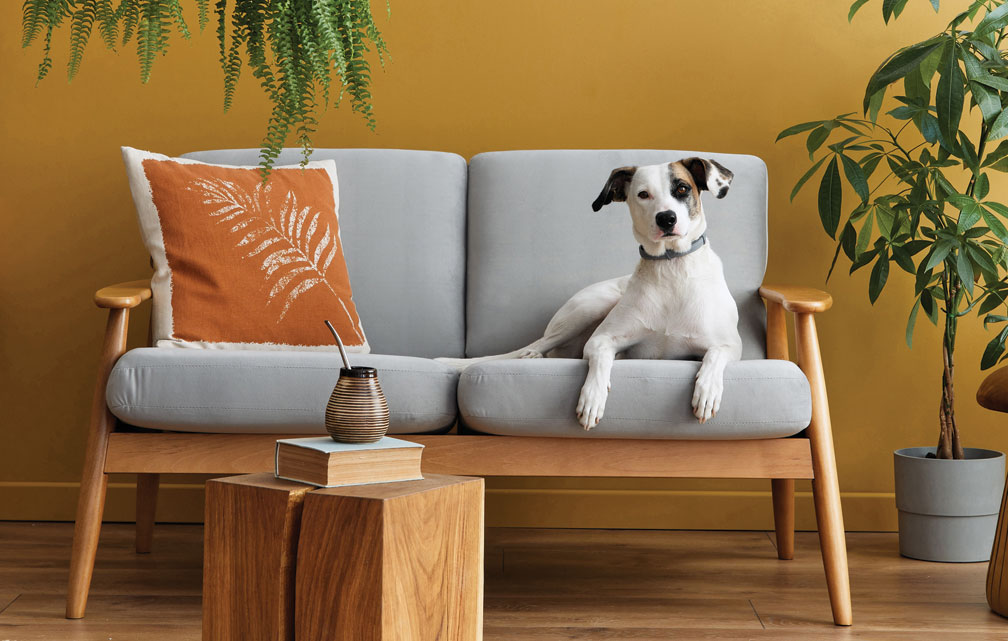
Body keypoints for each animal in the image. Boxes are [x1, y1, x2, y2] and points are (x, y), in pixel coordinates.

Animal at [439, 158, 741, 431]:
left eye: (682, 188)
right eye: (643, 194)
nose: (666, 218)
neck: (671, 269)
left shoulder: (731, 346)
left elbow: (714, 355)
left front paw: (707, 391)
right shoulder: (600, 340)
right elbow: (600, 360)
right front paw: (592, 399)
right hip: (592, 306)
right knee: (539, 346)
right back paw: (531, 356)